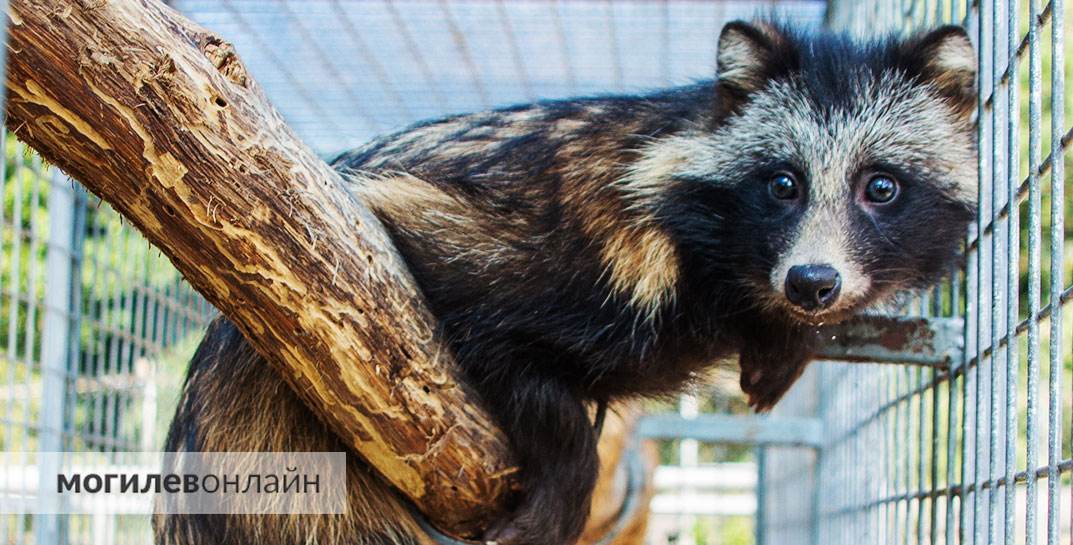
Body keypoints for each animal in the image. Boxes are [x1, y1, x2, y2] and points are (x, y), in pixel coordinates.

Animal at [160, 19, 982, 545]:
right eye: (782, 184)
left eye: (881, 187)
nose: (811, 282)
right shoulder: (533, 243)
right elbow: (516, 353)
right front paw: (566, 469)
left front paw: (782, 336)